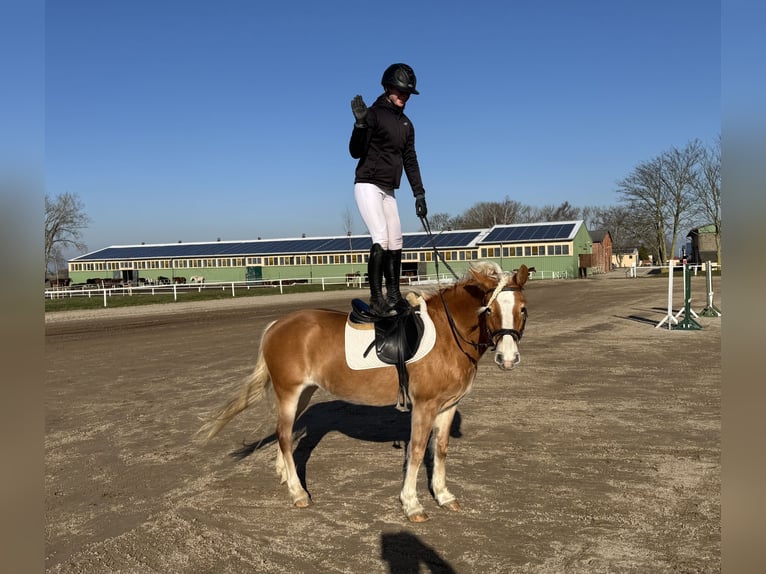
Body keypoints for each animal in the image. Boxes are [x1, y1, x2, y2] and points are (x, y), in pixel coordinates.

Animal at [198, 264, 532, 524]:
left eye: (522, 309)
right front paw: (412, 505)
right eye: (489, 310)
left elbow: (440, 450)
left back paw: (284, 475)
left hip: (302, 393)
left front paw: (443, 495)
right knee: (282, 435)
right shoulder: (424, 407)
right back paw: (298, 492)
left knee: (284, 433)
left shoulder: (448, 407)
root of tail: (276, 326)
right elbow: (417, 451)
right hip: (290, 393)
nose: (508, 359)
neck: (448, 334)